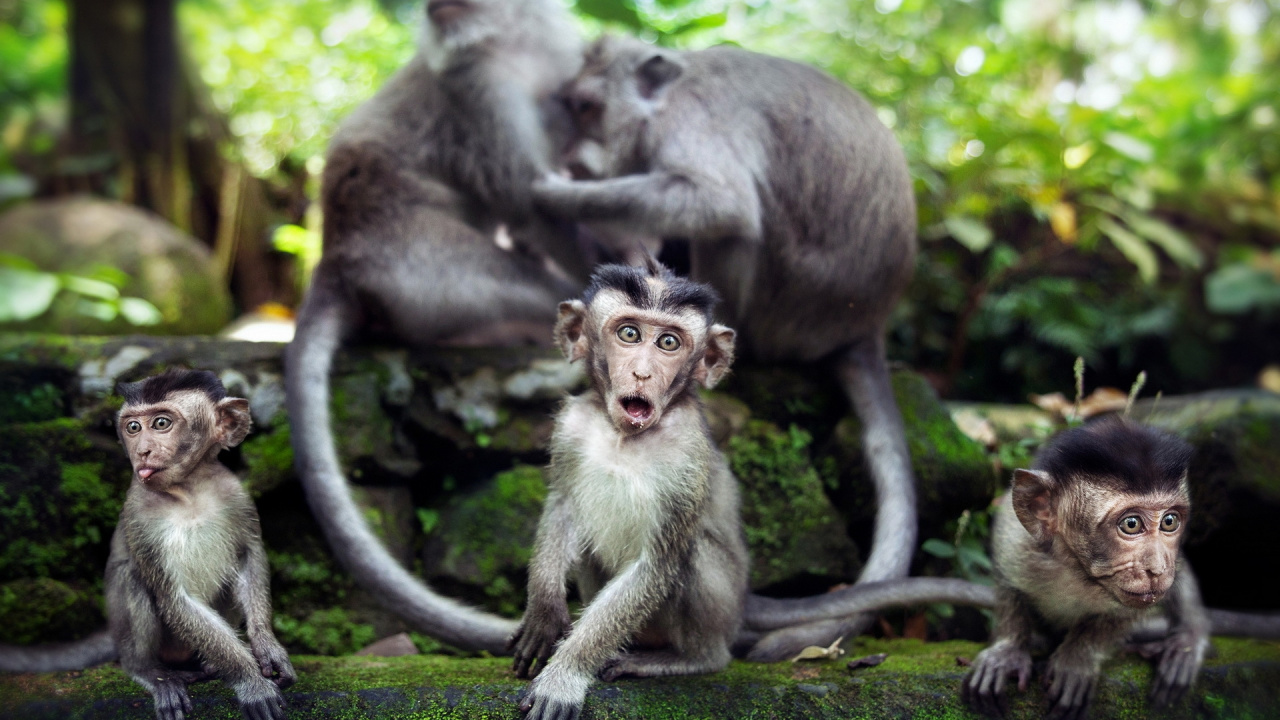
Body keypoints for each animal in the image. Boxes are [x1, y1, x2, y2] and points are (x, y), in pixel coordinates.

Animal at [284, 0, 587, 652]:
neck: (510, 43)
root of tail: (337, 255)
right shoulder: (476, 91)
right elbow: (532, 198)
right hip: (427, 268)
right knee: (528, 285)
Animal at [508, 261, 747, 720]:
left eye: (669, 342)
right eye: (630, 334)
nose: (642, 373)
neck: (626, 438)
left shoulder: (686, 459)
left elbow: (656, 564)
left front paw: (565, 675)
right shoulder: (571, 427)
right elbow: (562, 505)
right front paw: (544, 611)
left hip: (724, 613)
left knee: (692, 555)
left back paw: (689, 659)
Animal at [531, 35, 919, 661]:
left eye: (588, 106)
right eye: (571, 105)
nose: (573, 155)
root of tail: (867, 326)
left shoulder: (690, 122)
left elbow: (718, 202)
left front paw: (560, 194)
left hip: (790, 312)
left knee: (734, 229)